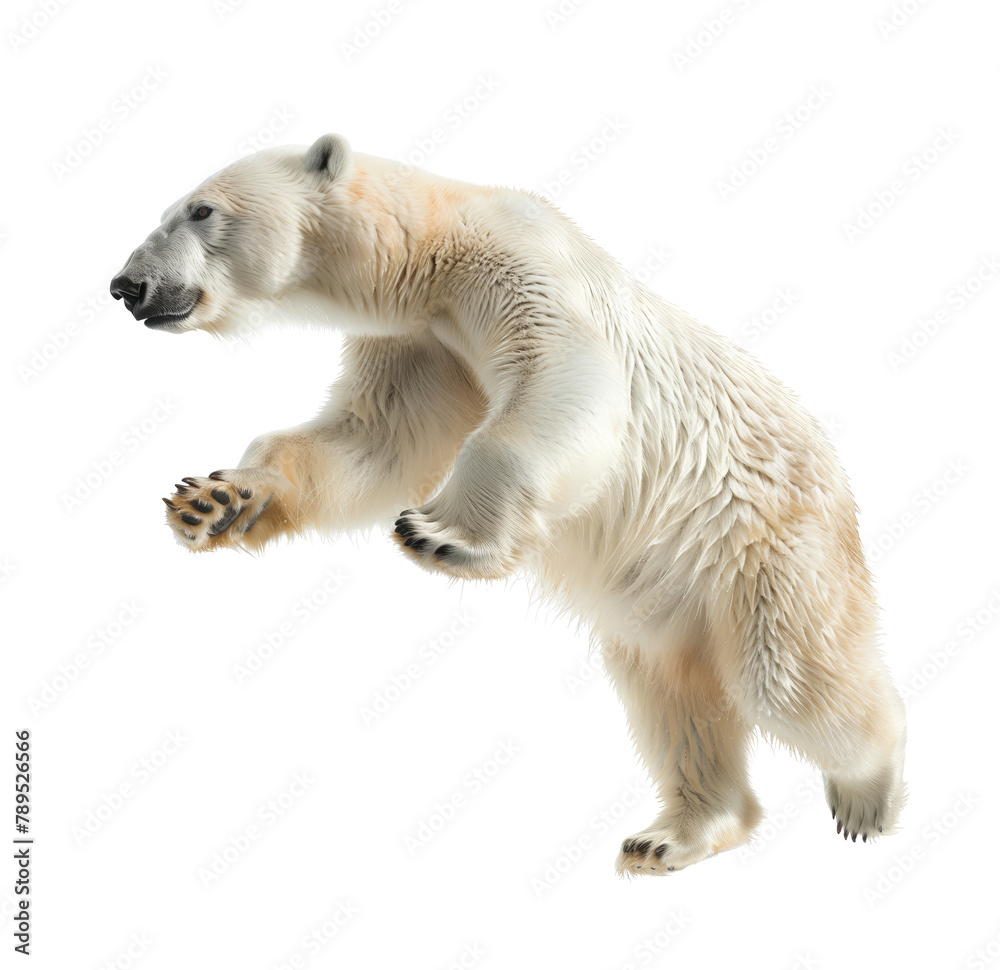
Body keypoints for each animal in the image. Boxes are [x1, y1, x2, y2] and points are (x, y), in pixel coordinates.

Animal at [110, 133, 906, 874]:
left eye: (200, 210)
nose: (126, 285)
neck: (429, 250)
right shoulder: (421, 344)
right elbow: (373, 443)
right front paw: (214, 501)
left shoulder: (517, 262)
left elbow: (564, 377)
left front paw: (441, 536)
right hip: (667, 603)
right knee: (673, 699)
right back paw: (670, 836)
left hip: (768, 547)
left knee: (789, 681)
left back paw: (871, 791)